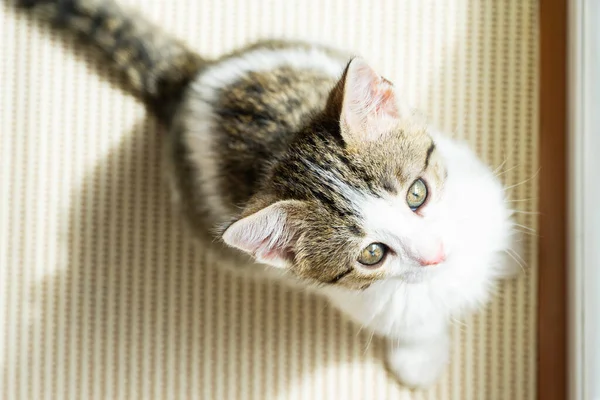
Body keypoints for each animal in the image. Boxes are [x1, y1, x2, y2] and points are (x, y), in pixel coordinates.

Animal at [18, 0, 524, 390]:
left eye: (417, 193)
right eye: (372, 254)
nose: (436, 254)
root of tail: (193, 80)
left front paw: (510, 255)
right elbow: (413, 323)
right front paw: (419, 358)